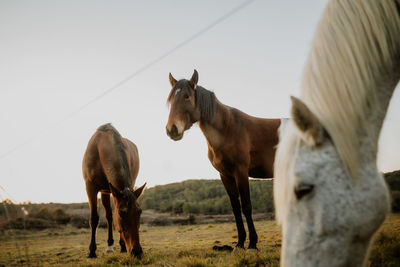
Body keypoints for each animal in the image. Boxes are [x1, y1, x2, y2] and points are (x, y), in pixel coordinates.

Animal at [82, 124, 146, 260]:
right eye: (122, 213)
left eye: (140, 212)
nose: (137, 252)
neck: (101, 147)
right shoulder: (91, 188)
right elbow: (94, 218)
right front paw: (92, 252)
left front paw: (122, 246)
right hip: (105, 191)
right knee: (109, 216)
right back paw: (110, 246)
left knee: (110, 215)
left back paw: (119, 245)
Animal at [165, 70, 282, 250]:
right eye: (170, 99)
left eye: (186, 97)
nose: (172, 130)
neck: (229, 129)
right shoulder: (225, 175)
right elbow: (235, 209)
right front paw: (239, 244)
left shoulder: (241, 172)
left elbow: (246, 206)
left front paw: (252, 244)